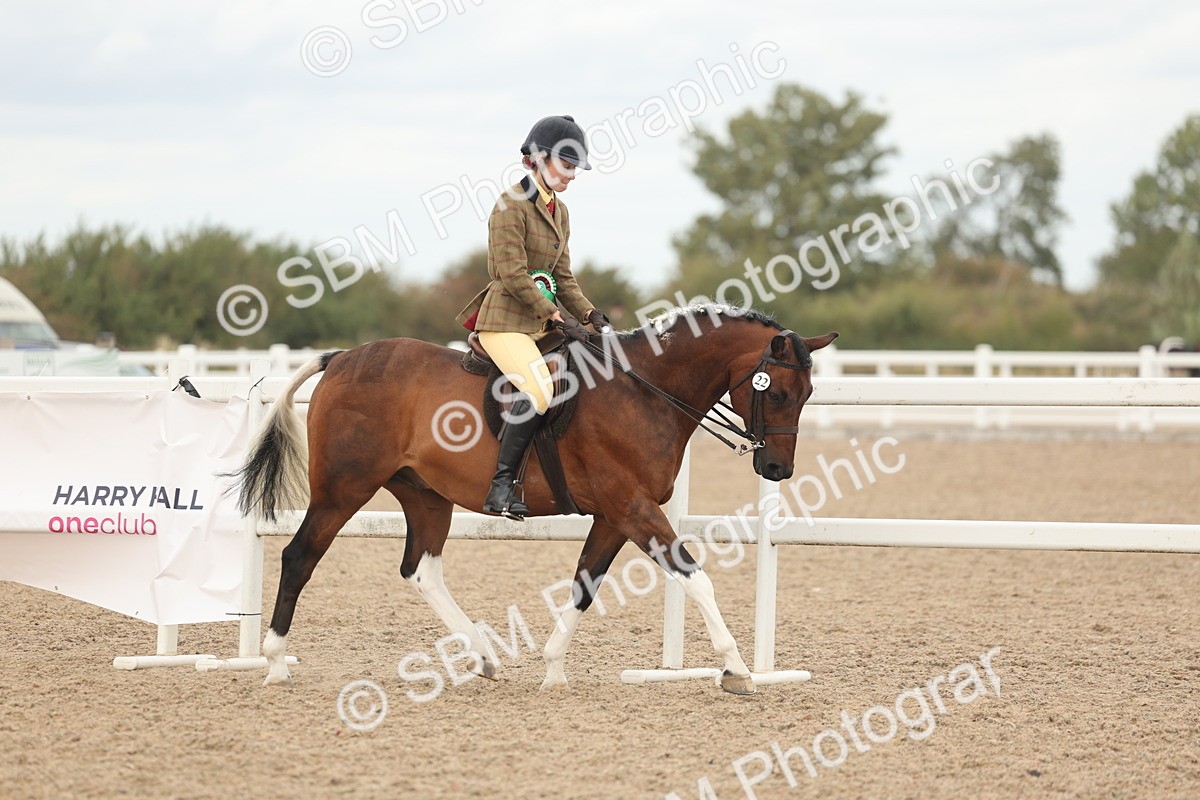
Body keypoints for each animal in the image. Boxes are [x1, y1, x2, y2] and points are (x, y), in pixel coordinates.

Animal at [229, 304, 837, 695]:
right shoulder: (633, 507)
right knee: (299, 557)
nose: (777, 469)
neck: (643, 391)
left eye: (808, 394)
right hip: (343, 489)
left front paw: (552, 669)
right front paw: (736, 670)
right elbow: (695, 576)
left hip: (425, 495)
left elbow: (585, 586)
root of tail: (341, 358)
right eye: (777, 393)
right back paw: (275, 663)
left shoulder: (615, 515)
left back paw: (482, 656)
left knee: (421, 570)